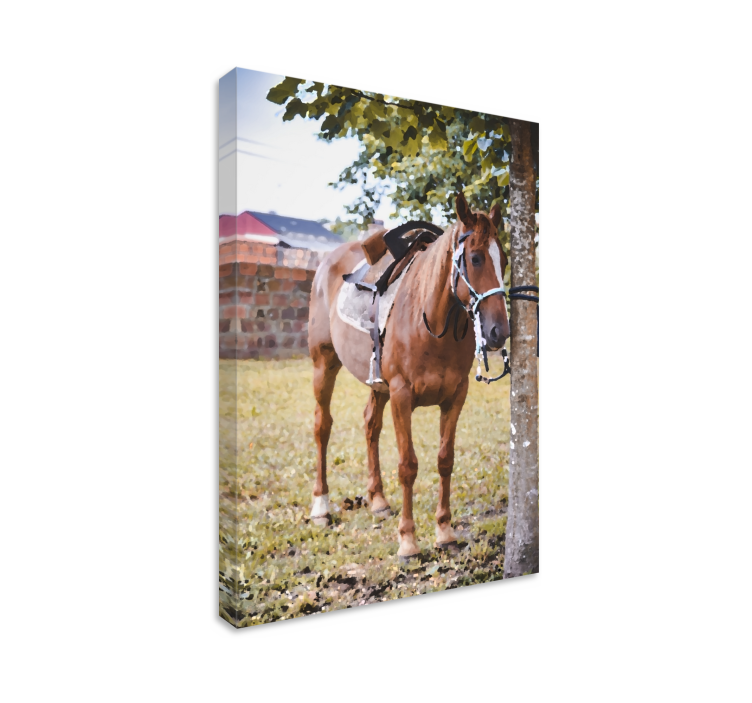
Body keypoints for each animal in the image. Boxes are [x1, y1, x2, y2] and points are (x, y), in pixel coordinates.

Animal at [307, 191, 510, 558]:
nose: (499, 331)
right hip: (323, 363)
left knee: (370, 424)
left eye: (504, 261)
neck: (428, 321)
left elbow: (445, 460)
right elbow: (408, 465)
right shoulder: (402, 395)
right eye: (475, 259)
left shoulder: (455, 396)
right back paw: (321, 507)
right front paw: (408, 540)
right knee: (322, 427)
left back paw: (377, 500)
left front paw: (444, 531)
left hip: (377, 385)